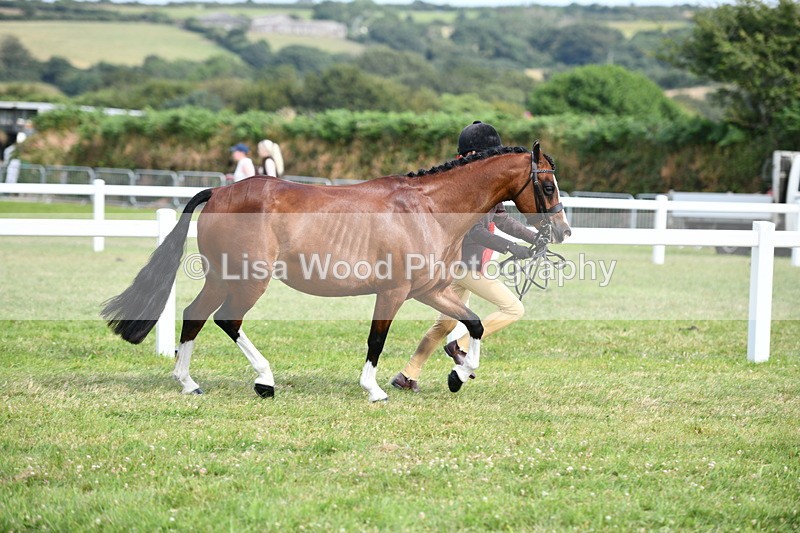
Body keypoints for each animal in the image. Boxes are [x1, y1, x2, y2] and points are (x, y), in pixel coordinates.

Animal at [101, 142, 571, 402]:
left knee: (195, 316)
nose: (563, 231)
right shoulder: (393, 292)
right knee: (224, 320)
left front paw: (459, 374)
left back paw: (188, 383)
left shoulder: (430, 290)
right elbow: (377, 339)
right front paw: (374, 390)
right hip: (247, 279)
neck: (427, 208)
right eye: (548, 186)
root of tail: (219, 192)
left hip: (223, 277)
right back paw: (264, 380)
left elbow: (472, 323)